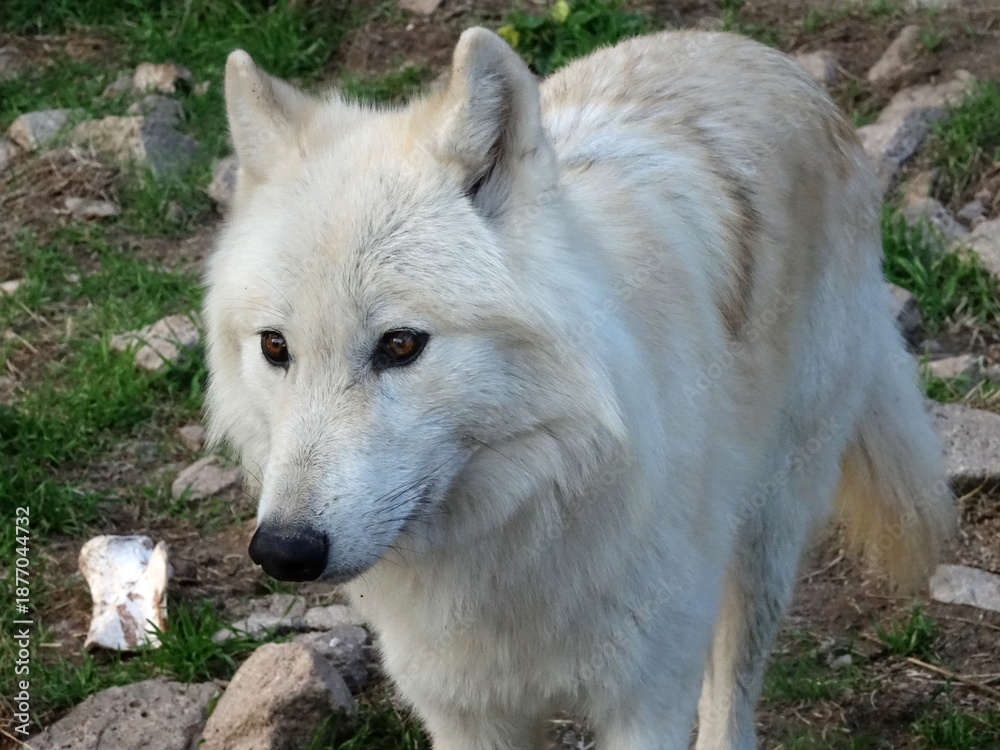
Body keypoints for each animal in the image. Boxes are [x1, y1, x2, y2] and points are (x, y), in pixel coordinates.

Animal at [204, 27, 953, 750]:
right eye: (276, 347)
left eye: (400, 345)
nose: (284, 550)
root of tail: (763, 56)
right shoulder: (464, 714)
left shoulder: (648, 700)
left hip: (767, 531)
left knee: (733, 696)